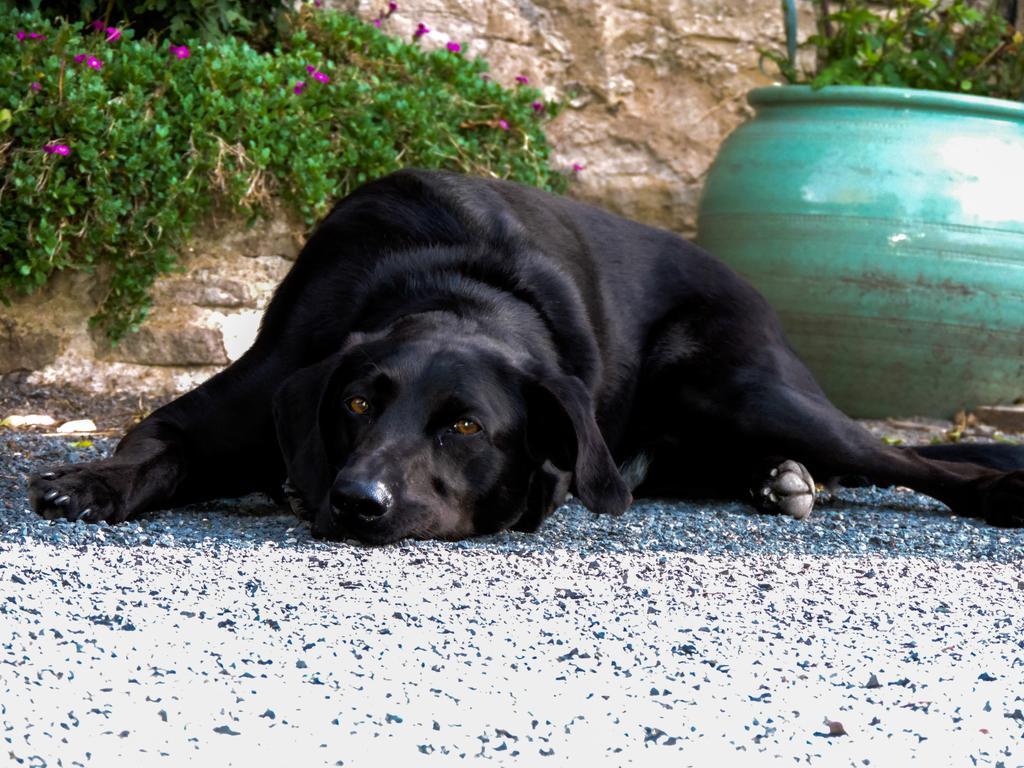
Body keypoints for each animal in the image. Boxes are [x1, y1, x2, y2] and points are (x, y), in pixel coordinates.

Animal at [28, 169, 1024, 540]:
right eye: (354, 404)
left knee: (899, 459)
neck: (453, 287)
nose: (357, 502)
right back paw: (772, 479)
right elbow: (154, 445)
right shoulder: (250, 393)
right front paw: (90, 483)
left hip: (737, 383)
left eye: (465, 427)